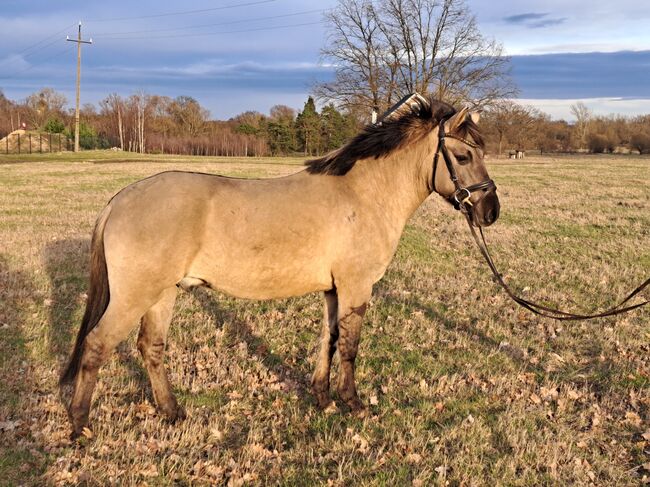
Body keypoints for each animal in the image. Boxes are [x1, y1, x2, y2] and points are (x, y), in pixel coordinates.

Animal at [59, 94, 496, 438]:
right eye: (462, 156)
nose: (490, 211)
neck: (362, 194)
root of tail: (120, 200)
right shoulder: (356, 286)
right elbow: (350, 346)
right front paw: (352, 403)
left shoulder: (333, 289)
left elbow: (329, 340)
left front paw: (323, 398)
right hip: (134, 296)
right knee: (97, 345)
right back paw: (81, 424)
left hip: (163, 294)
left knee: (151, 347)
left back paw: (172, 412)